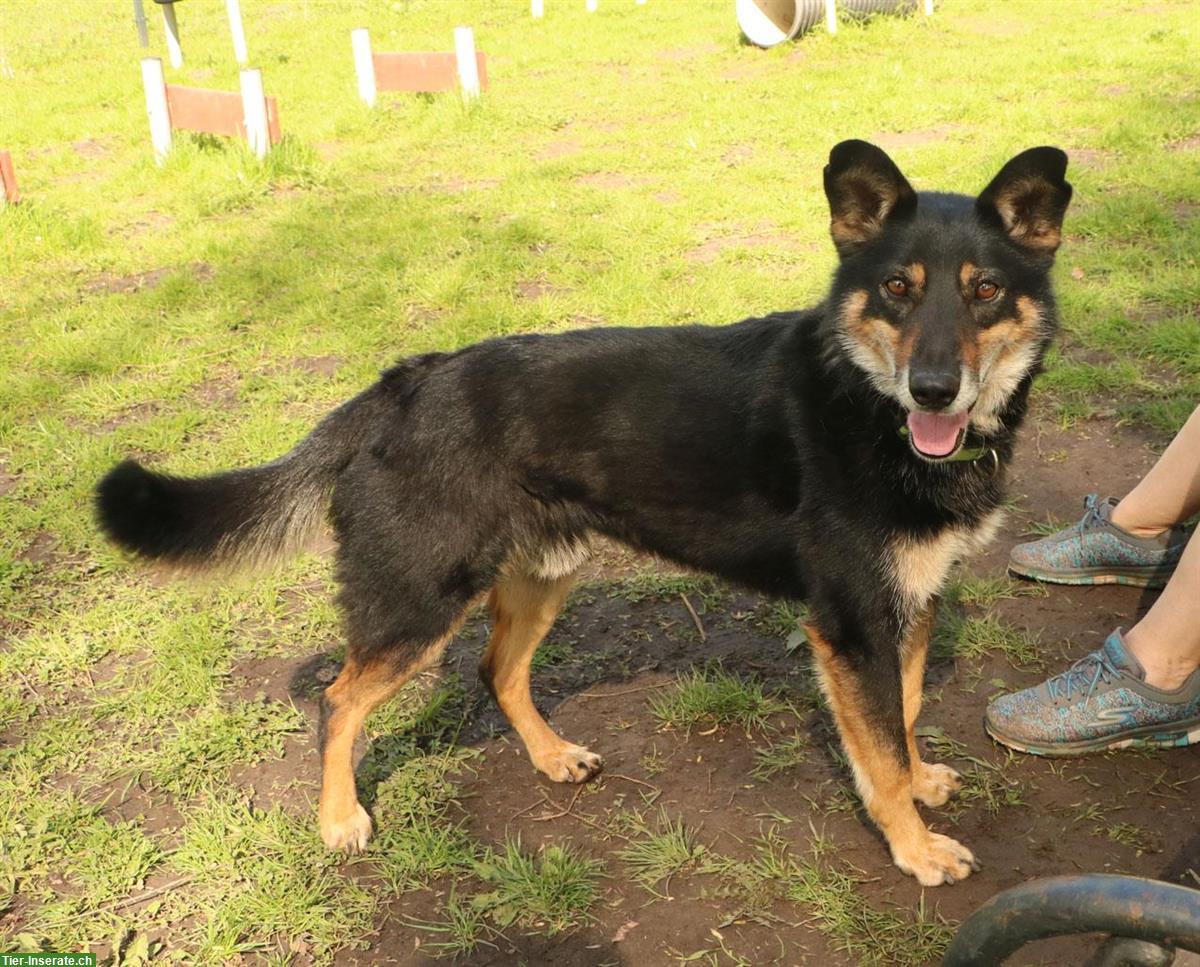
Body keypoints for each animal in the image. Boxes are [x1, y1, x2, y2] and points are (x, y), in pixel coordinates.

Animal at [93, 140, 1070, 887]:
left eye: (985, 291)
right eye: (898, 289)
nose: (934, 389)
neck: (870, 405)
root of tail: (403, 383)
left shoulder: (908, 605)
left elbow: (901, 714)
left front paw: (922, 780)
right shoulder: (853, 623)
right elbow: (880, 751)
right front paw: (916, 847)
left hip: (540, 576)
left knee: (498, 672)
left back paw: (551, 755)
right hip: (418, 601)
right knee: (339, 701)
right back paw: (339, 818)